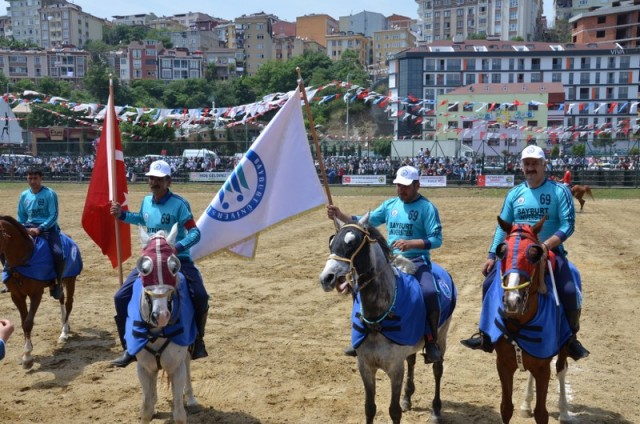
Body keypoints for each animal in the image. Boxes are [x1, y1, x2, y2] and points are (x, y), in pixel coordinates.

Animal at [0, 215, 82, 368]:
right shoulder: (17, 296)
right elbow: (23, 322)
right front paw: (28, 350)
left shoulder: (36, 294)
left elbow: (28, 322)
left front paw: (27, 356)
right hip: (59, 284)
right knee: (61, 298)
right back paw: (65, 326)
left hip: (70, 279)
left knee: (69, 303)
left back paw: (64, 333)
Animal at [129, 225, 199, 424]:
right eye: (145, 269)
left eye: (173, 267)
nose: (161, 315)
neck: (157, 331)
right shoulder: (143, 368)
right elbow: (145, 409)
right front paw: (150, 407)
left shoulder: (177, 368)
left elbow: (179, 414)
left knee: (188, 365)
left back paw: (191, 399)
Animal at [320, 215, 456, 424]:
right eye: (331, 242)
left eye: (352, 242)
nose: (326, 278)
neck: (377, 321)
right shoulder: (365, 367)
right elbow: (369, 408)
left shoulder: (395, 369)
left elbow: (394, 411)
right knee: (412, 361)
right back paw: (408, 397)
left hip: (441, 336)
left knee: (437, 369)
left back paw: (435, 409)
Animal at [488, 217, 572, 422]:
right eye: (502, 252)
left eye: (535, 254)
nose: (512, 301)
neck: (520, 322)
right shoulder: (503, 365)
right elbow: (505, 408)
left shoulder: (543, 369)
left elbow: (542, 413)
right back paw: (526, 404)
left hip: (563, 347)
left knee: (561, 369)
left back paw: (565, 412)